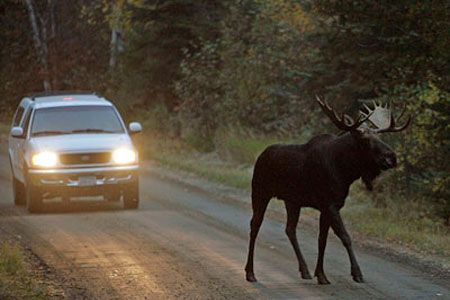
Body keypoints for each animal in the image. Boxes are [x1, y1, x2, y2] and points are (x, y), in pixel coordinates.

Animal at [246, 96, 412, 284]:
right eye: (365, 141)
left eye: (379, 135)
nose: (391, 157)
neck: (345, 172)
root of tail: (260, 156)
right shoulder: (330, 205)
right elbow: (345, 237)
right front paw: (357, 273)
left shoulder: (328, 207)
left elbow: (322, 240)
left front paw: (321, 275)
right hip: (259, 192)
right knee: (255, 225)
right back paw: (250, 273)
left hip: (292, 201)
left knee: (290, 229)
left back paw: (304, 270)